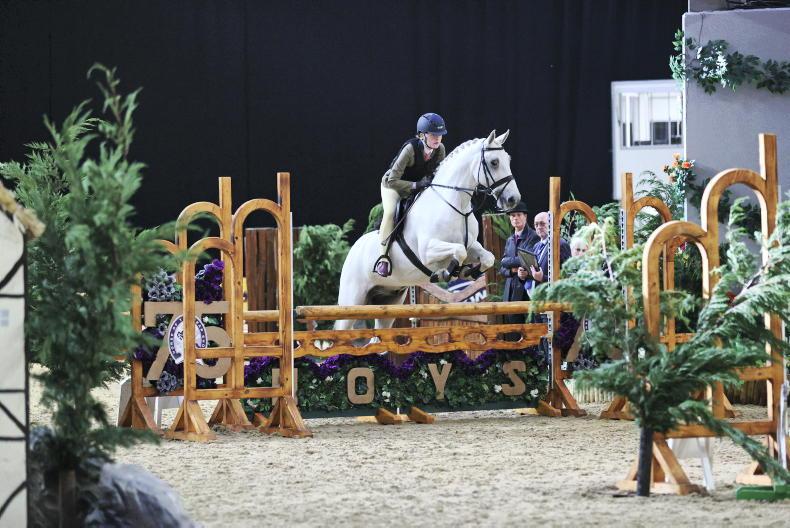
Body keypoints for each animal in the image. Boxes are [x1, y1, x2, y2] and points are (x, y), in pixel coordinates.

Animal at [335, 130, 521, 331]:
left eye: (508, 160)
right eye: (494, 162)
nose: (513, 199)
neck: (455, 204)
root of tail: (353, 249)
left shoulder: (472, 245)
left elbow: (487, 257)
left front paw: (466, 272)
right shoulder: (427, 251)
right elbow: (459, 251)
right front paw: (445, 273)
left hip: (390, 300)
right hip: (352, 299)